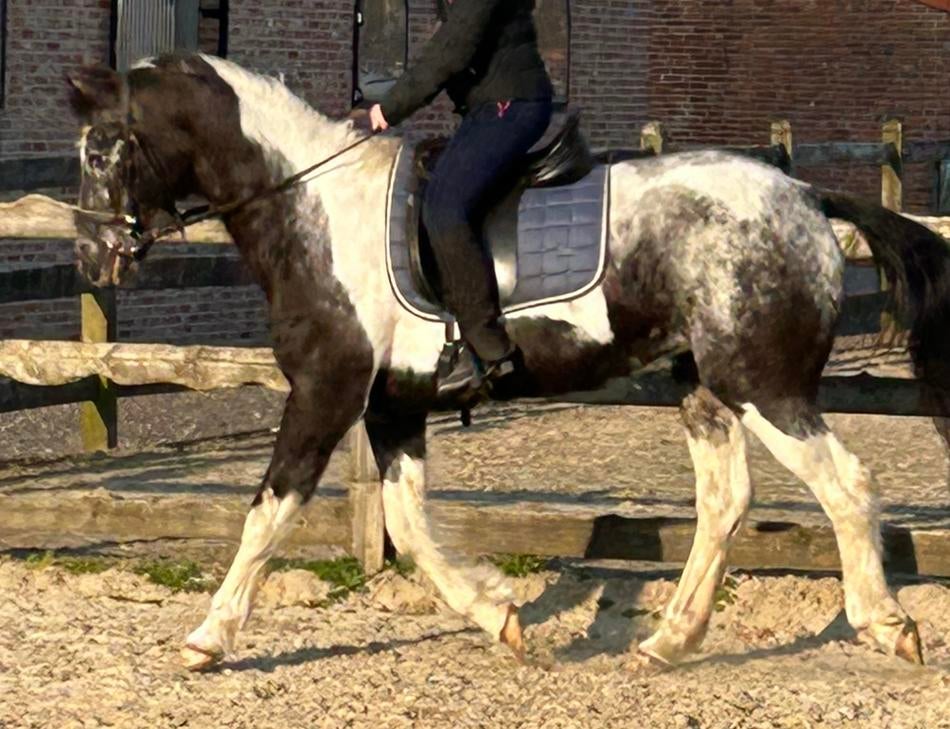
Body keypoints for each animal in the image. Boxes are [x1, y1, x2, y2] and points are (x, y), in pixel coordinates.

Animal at [66, 53, 950, 672]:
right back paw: (668, 641)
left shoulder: (327, 389)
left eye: (103, 151)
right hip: (703, 385)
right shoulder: (393, 403)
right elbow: (406, 523)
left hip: (762, 382)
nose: (91, 256)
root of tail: (805, 198)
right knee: (725, 499)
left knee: (846, 485)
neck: (315, 209)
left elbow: (269, 509)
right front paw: (499, 613)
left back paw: (887, 626)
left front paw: (207, 637)